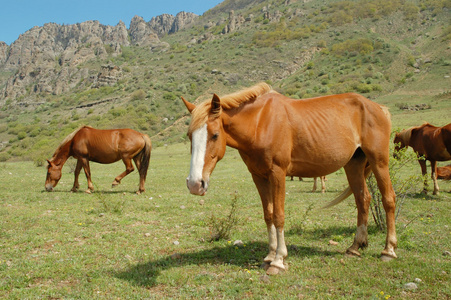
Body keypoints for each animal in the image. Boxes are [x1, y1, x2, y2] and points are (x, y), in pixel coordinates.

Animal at [182, 82, 398, 274]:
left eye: (215, 135)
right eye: (189, 135)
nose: (195, 184)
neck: (260, 122)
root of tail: (378, 108)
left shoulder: (278, 173)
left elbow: (279, 215)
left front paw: (278, 261)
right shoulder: (258, 176)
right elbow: (268, 215)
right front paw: (269, 256)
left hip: (379, 162)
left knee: (388, 199)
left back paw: (388, 250)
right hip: (353, 164)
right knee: (363, 199)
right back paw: (355, 247)